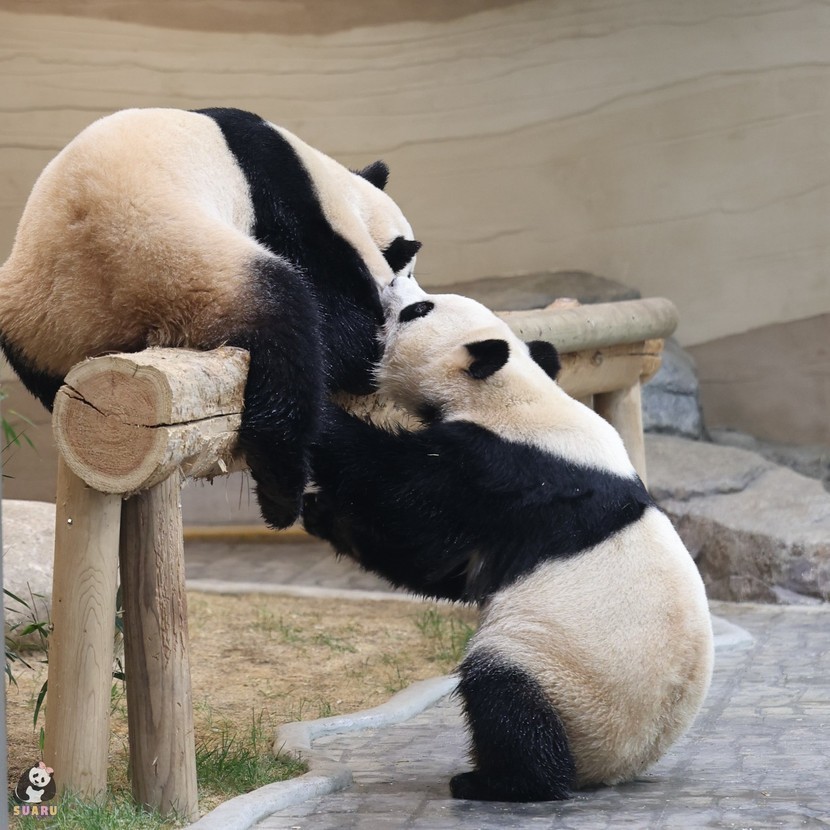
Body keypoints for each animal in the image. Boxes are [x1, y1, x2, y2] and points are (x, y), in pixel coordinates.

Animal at [0, 107, 420, 528]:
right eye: (407, 272)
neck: (334, 190)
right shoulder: (279, 204)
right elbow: (330, 307)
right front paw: (367, 346)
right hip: (188, 264)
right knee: (287, 333)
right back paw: (281, 494)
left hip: (37, 319)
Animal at [303, 276, 714, 802]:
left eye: (418, 310)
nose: (394, 281)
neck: (515, 391)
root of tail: (615, 767)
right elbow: (442, 566)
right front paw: (319, 512)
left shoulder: (507, 472)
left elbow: (406, 500)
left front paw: (318, 415)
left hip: (563, 677)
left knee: (503, 692)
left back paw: (497, 781)